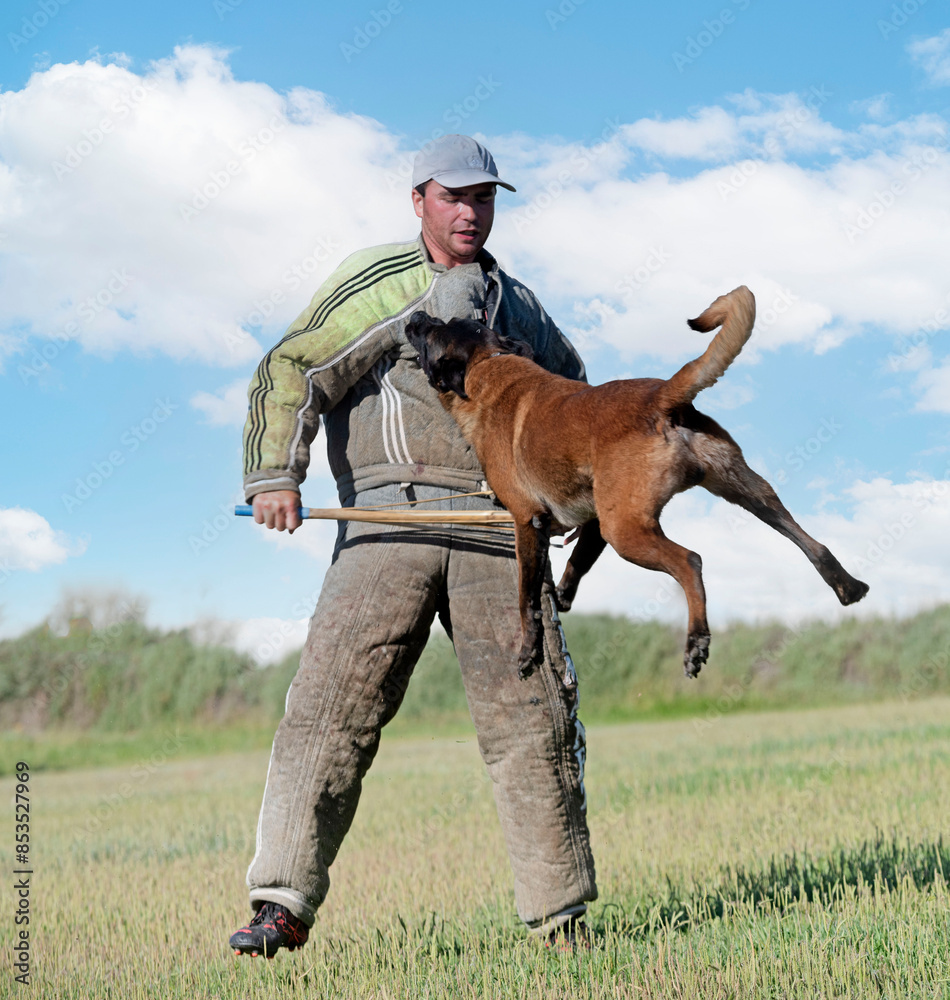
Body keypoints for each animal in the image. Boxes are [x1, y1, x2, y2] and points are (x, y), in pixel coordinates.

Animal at [402, 290, 872, 680]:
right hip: (747, 493)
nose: (417, 315)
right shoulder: (593, 518)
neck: (488, 363)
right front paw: (563, 595)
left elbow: (526, 600)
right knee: (812, 544)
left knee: (691, 561)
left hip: (626, 531)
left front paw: (528, 652)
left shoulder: (527, 522)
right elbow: (576, 563)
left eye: (433, 332)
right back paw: (848, 586)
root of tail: (661, 396)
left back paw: (696, 642)